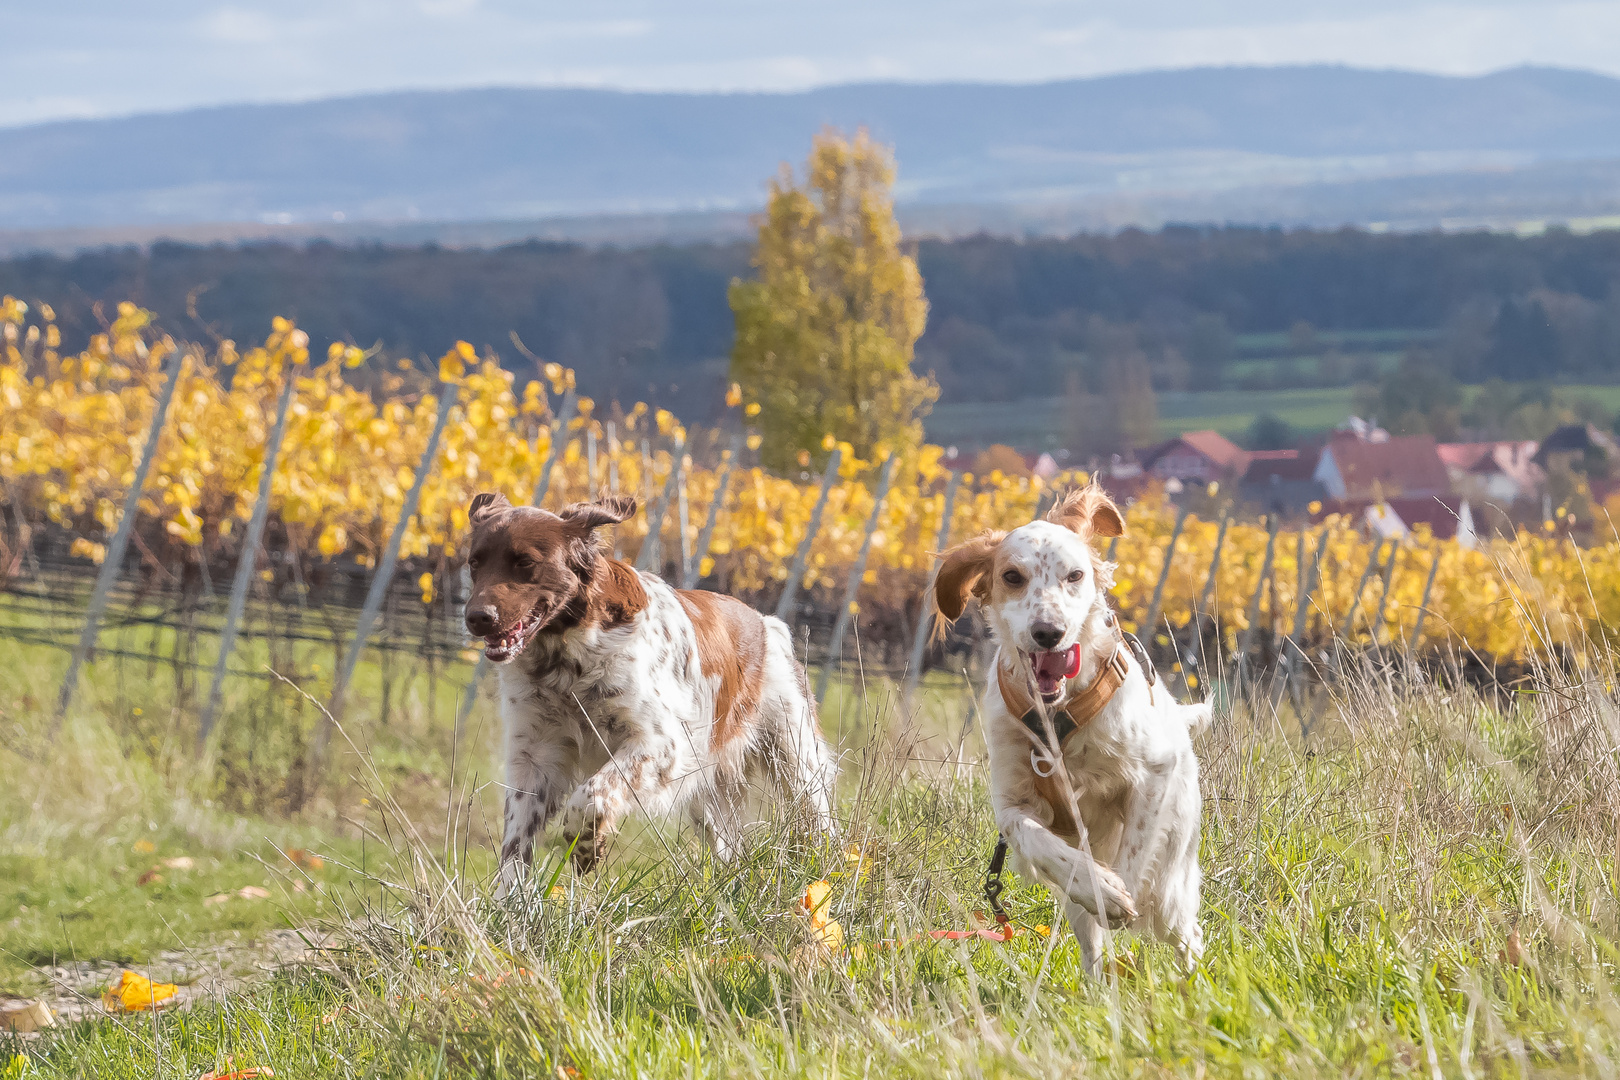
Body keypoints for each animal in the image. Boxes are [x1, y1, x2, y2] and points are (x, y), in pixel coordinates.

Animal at [460, 492, 829, 893]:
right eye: (474, 563)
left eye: (525, 562)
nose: (477, 617)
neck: (568, 660)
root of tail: (766, 624)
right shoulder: (533, 754)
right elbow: (515, 846)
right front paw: (509, 903)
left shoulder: (660, 742)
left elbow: (590, 795)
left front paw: (585, 847)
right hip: (707, 792)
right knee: (729, 846)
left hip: (794, 760)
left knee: (817, 824)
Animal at [933, 485, 1211, 977]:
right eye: (1012, 576)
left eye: (1076, 575)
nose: (1049, 632)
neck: (1057, 717)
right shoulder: (1012, 802)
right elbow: (1034, 837)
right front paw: (1101, 890)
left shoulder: (1156, 771)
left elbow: (1133, 858)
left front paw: (1115, 894)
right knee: (1090, 936)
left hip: (1171, 884)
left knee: (1185, 933)